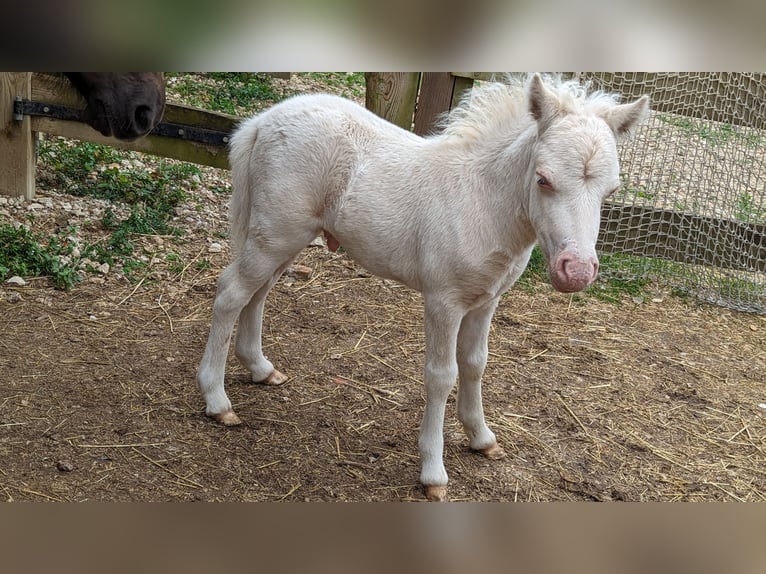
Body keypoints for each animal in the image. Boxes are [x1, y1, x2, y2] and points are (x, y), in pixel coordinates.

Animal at [196, 74, 648, 502]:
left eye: (611, 190)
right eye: (543, 179)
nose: (577, 272)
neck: (482, 203)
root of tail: (262, 121)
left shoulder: (487, 300)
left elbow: (476, 363)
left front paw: (482, 438)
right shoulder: (443, 301)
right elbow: (441, 376)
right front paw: (434, 472)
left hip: (284, 239)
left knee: (259, 293)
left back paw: (260, 368)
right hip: (276, 233)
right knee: (232, 293)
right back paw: (217, 400)